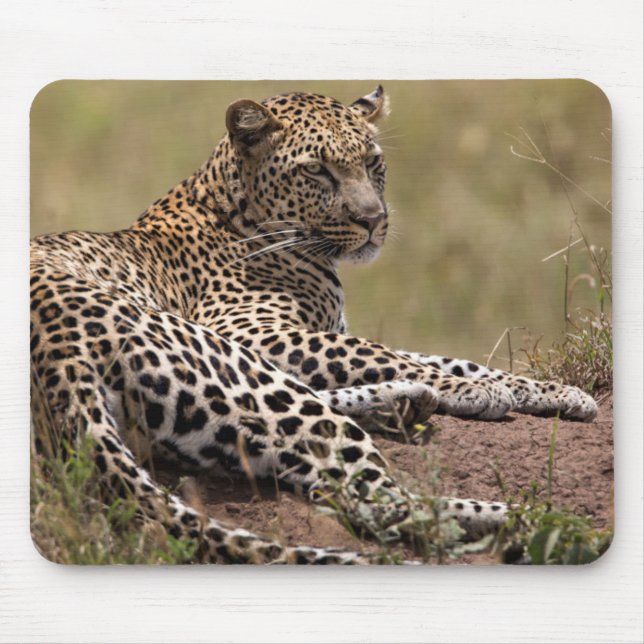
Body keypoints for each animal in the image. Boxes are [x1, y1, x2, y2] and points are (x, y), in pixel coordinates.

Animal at [30, 86, 598, 564]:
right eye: (317, 172)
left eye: (373, 163)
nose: (374, 220)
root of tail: (55, 352)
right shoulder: (252, 330)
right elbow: (384, 353)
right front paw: (483, 392)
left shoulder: (319, 332)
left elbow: (442, 357)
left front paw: (552, 392)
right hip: (221, 358)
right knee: (383, 503)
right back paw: (537, 518)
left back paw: (405, 403)